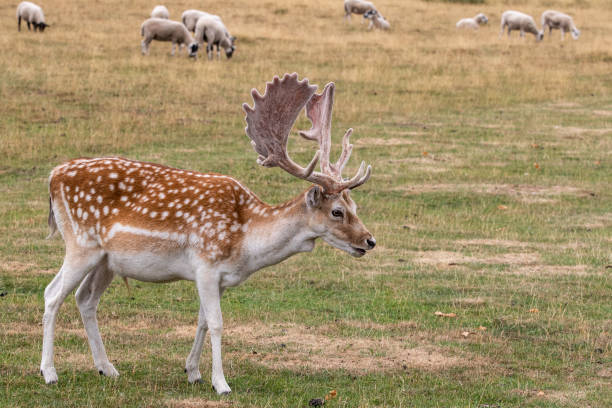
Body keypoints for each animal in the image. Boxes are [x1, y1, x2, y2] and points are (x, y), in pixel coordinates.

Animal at [41, 71, 372, 394]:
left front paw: (193, 372)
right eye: (337, 211)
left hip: (107, 261)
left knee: (85, 299)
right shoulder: (206, 266)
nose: (369, 240)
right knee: (52, 294)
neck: (246, 244)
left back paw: (107, 368)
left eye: (354, 205)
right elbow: (216, 323)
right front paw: (221, 383)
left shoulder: (219, 278)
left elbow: (201, 320)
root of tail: (53, 176)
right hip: (80, 244)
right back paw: (49, 372)